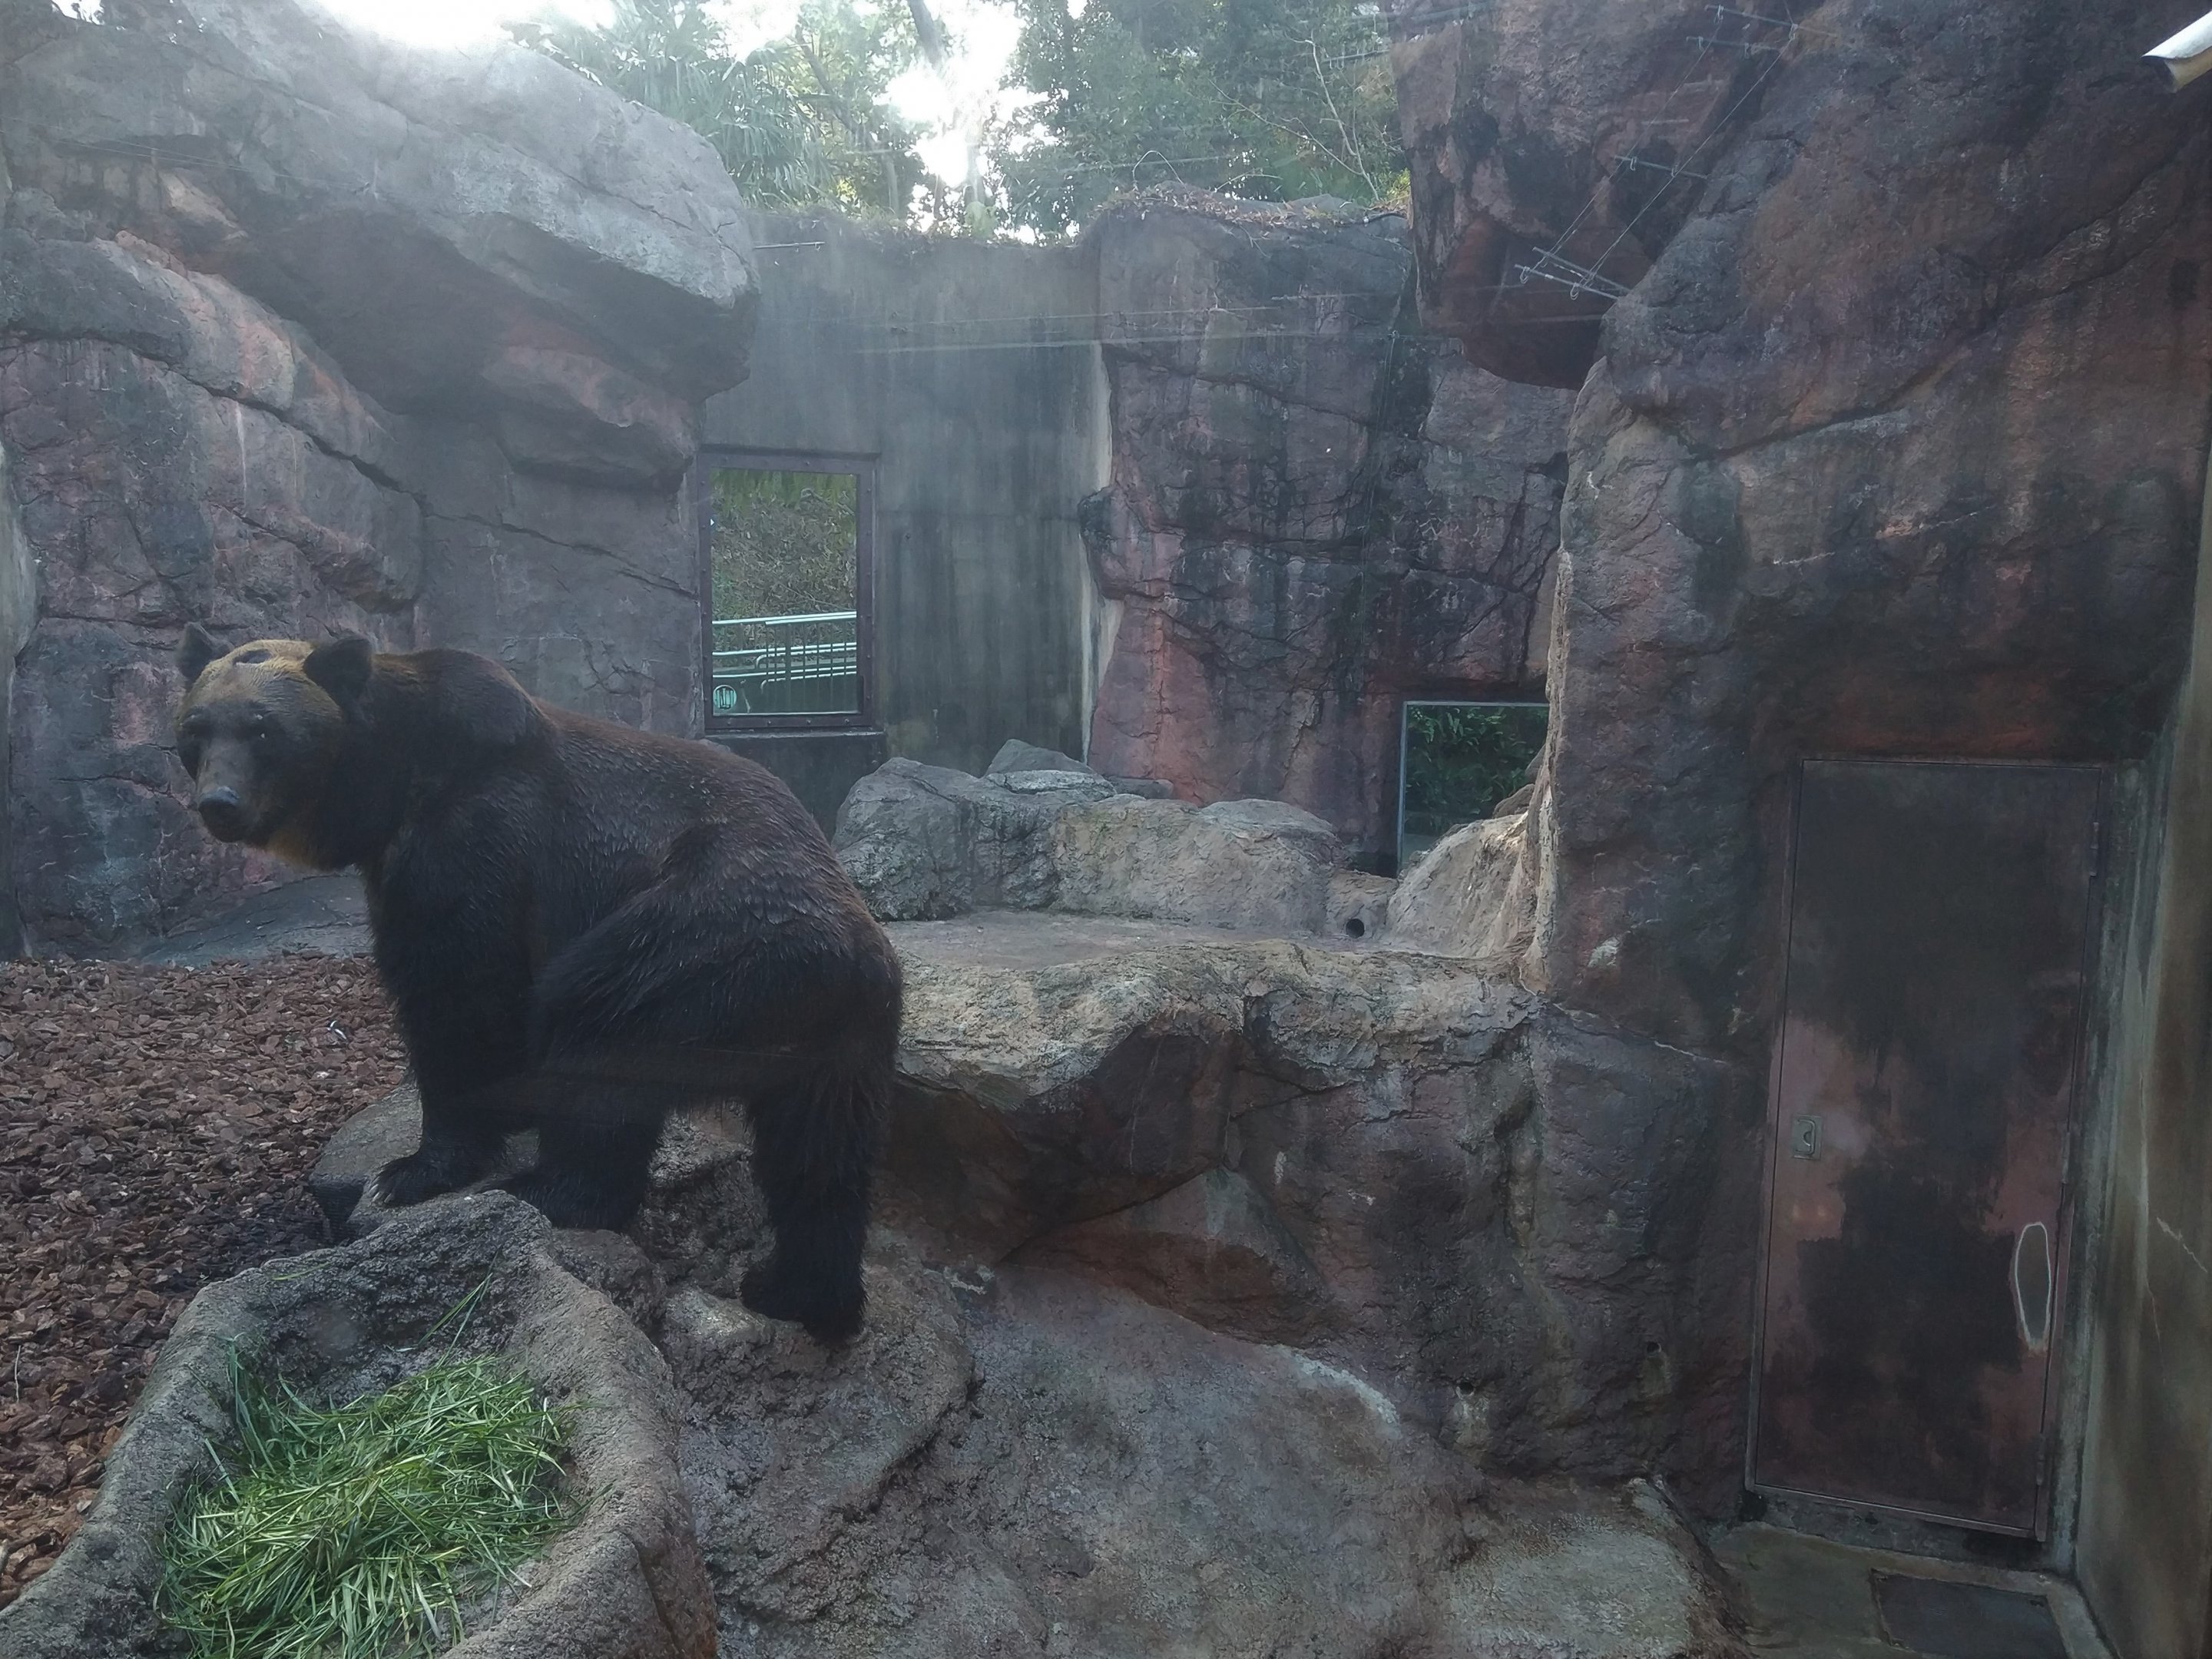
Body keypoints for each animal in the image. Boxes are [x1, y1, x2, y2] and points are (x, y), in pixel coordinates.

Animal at [172, 624, 902, 1342]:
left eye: (262, 729)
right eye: (196, 729)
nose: (219, 805)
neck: (396, 779)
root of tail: (854, 956)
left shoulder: (473, 842)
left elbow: (455, 994)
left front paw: (414, 1169)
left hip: (711, 942)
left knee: (595, 1028)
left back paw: (549, 1190)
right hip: (835, 1040)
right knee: (818, 1157)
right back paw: (797, 1290)